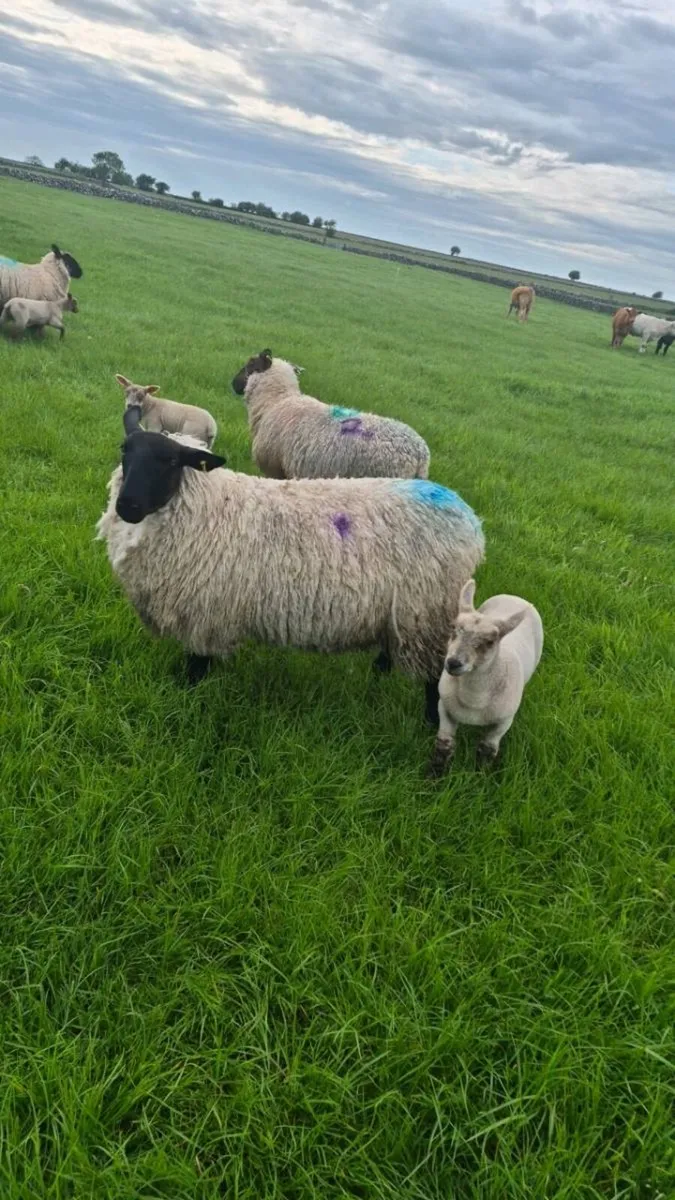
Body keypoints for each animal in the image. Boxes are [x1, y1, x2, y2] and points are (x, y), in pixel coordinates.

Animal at [96, 408, 485, 725]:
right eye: (125, 450)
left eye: (171, 462)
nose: (127, 506)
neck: (209, 508)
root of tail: (468, 516)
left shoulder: (206, 613)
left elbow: (196, 666)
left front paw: (187, 697)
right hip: (402, 612)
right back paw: (376, 678)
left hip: (428, 614)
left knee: (435, 679)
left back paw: (430, 722)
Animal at [428, 578, 543, 775]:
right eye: (453, 629)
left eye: (490, 642)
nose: (453, 663)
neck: (473, 701)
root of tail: (514, 597)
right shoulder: (444, 708)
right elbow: (444, 745)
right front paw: (435, 775)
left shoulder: (503, 723)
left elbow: (487, 749)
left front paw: (480, 775)